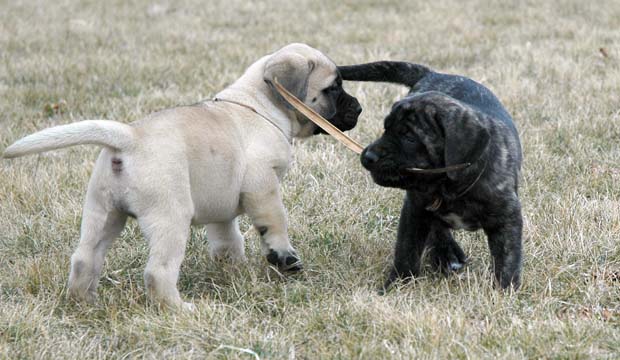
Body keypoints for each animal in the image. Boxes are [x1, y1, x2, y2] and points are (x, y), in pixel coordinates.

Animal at [340, 62, 524, 292]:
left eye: (409, 137)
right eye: (386, 128)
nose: (368, 156)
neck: (449, 187)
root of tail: (433, 73)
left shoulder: (507, 218)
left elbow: (507, 259)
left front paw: (505, 291)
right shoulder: (414, 210)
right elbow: (406, 251)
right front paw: (396, 285)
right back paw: (446, 253)